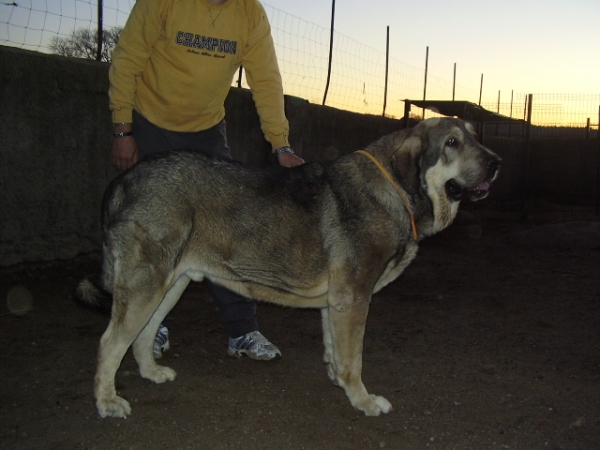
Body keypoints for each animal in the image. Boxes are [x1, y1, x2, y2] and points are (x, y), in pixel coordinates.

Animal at [78, 117, 502, 418]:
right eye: (452, 143)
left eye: (475, 137)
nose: (498, 162)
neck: (396, 188)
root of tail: (125, 178)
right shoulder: (353, 298)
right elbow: (354, 359)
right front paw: (363, 401)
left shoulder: (337, 303)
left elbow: (336, 351)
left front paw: (339, 382)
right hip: (147, 287)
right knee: (110, 343)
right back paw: (106, 402)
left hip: (171, 284)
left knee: (143, 335)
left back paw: (151, 372)